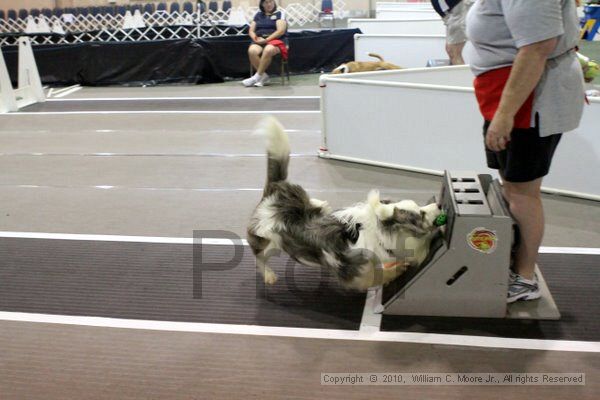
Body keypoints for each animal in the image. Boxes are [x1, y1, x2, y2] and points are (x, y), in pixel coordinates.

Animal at [245, 118, 440, 290]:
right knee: (259, 257)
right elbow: (376, 276)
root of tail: (276, 189)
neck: (378, 233)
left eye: (420, 206)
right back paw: (269, 275)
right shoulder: (355, 273)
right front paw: (397, 270)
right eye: (421, 215)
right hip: (266, 241)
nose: (438, 205)